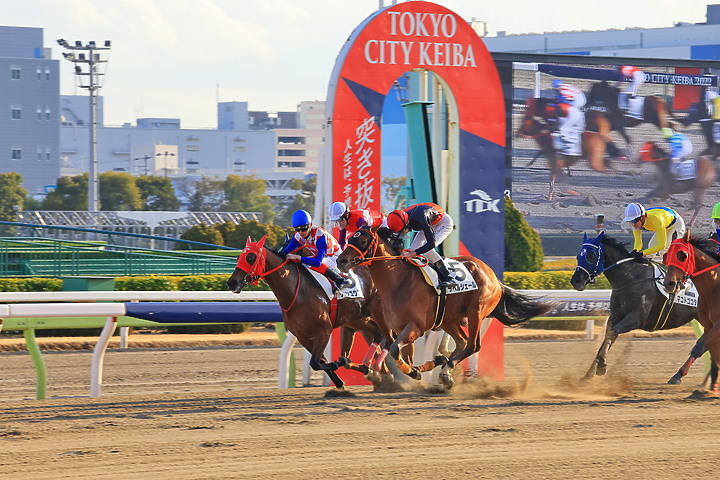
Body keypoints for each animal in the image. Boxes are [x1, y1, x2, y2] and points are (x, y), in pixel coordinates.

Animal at [226, 235, 390, 390]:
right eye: (240, 257)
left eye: (250, 257)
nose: (231, 282)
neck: (296, 292)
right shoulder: (303, 336)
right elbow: (320, 361)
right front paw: (340, 380)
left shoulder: (324, 331)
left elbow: (316, 362)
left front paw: (339, 364)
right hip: (356, 318)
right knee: (377, 333)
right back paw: (370, 369)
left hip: (377, 313)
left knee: (387, 335)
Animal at [334, 227, 556, 388]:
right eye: (351, 238)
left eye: (363, 241)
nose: (341, 260)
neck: (398, 281)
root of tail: (493, 276)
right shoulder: (399, 328)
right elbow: (402, 354)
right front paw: (424, 366)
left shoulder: (415, 328)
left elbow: (396, 350)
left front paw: (416, 372)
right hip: (449, 319)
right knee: (462, 342)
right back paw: (444, 370)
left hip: (476, 312)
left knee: (472, 345)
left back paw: (446, 371)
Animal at [568, 232, 696, 378]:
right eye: (578, 256)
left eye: (590, 255)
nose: (576, 281)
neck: (631, 278)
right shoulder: (615, 315)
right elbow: (608, 336)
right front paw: (588, 375)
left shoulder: (637, 318)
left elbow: (612, 333)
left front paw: (601, 365)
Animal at [664, 231, 720, 392]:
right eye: (666, 255)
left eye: (682, 255)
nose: (669, 283)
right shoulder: (708, 325)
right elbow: (709, 349)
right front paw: (712, 386)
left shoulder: (718, 325)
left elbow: (700, 347)